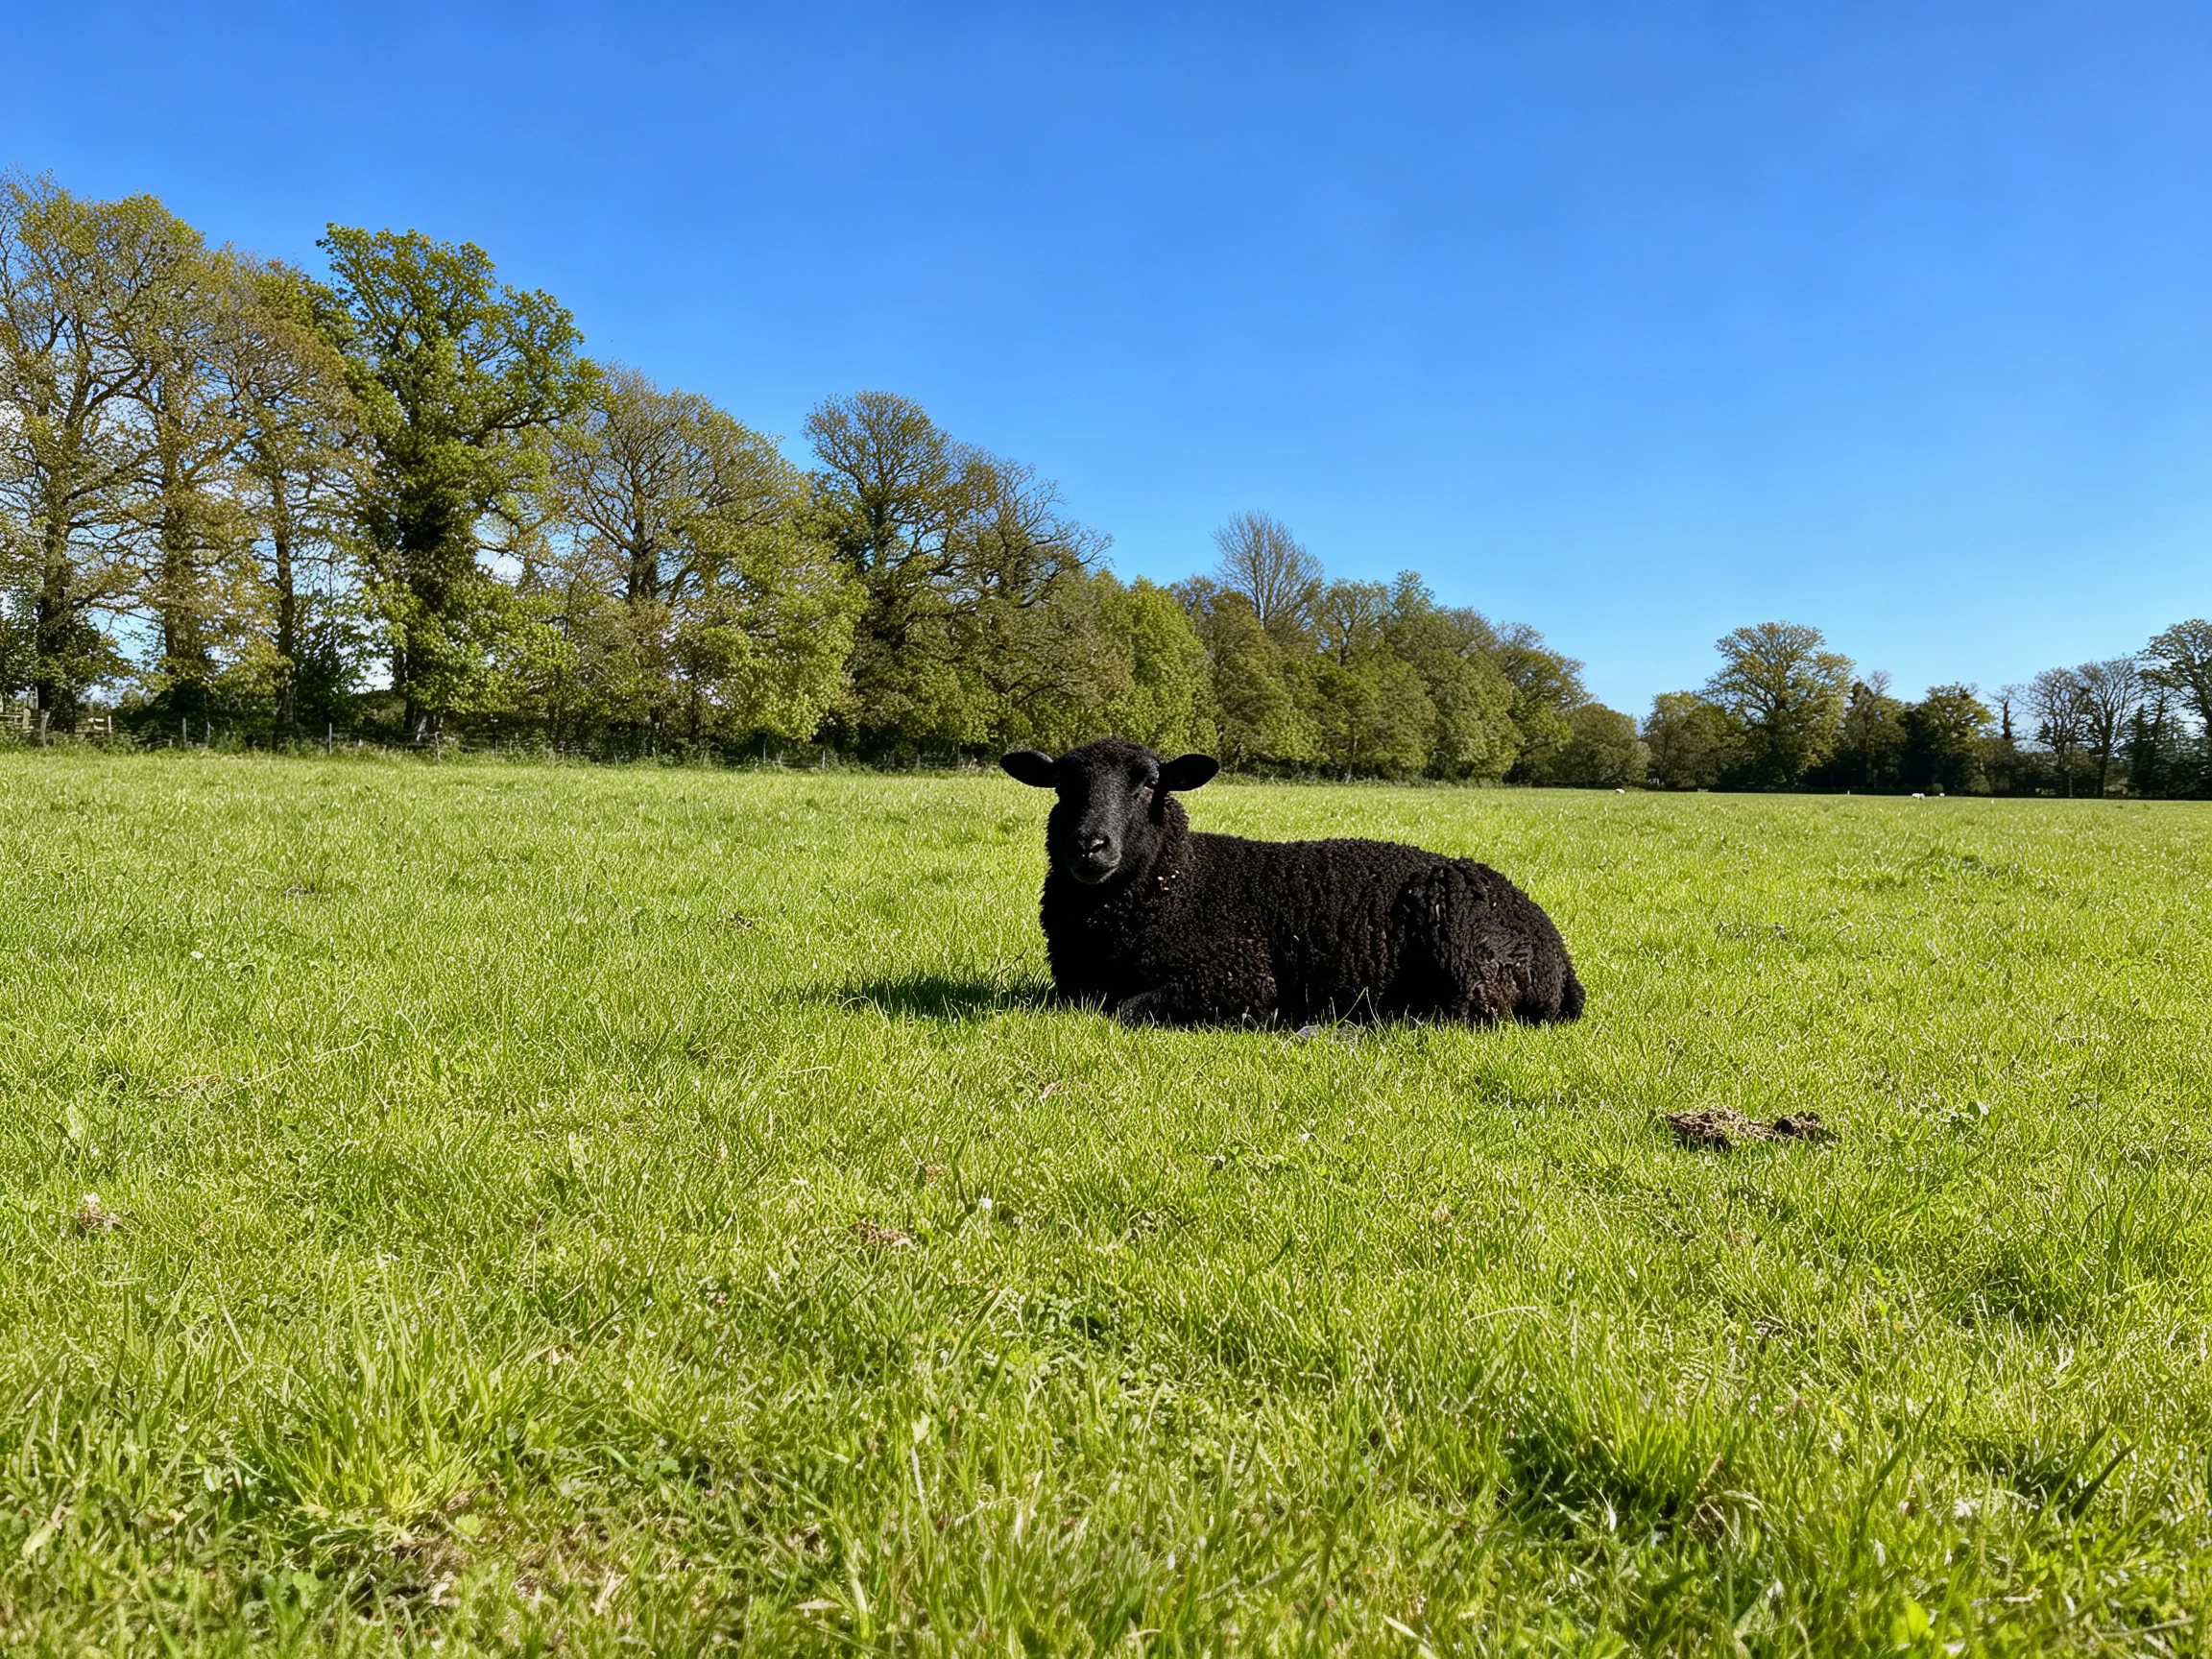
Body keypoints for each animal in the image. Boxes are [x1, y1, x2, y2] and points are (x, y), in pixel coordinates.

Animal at [1000, 737, 1585, 1027]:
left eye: (1149, 784)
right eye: (1061, 785)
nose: (1089, 847)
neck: (1181, 879)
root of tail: (1559, 959)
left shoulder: (1235, 975)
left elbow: (1124, 1009)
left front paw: (1260, 1019)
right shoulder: (1073, 984)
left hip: (1467, 955)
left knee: (1464, 1016)